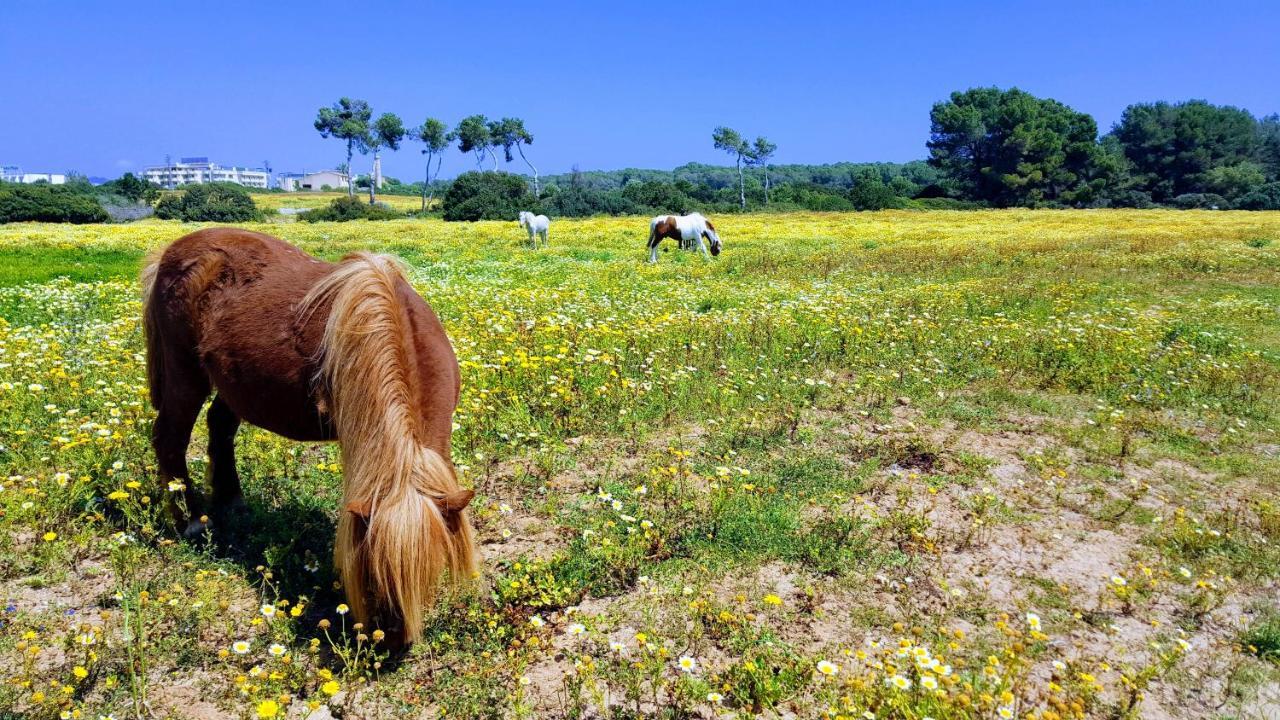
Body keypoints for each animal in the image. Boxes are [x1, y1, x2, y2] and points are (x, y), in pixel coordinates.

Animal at [141, 228, 481, 645]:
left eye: (430, 568)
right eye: (371, 573)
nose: (393, 639)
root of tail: (172, 251)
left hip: (232, 383)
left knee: (219, 426)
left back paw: (232, 501)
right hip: (184, 374)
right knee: (169, 439)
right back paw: (191, 520)